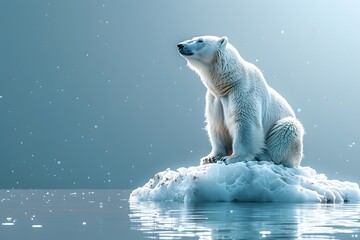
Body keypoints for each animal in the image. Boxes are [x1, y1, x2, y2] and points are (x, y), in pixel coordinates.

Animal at [177, 35, 304, 167]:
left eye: (200, 40)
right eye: (193, 38)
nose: (180, 45)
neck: (229, 82)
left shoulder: (244, 91)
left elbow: (245, 122)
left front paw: (232, 158)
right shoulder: (215, 99)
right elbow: (216, 124)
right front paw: (210, 158)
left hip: (288, 134)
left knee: (287, 128)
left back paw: (263, 156)